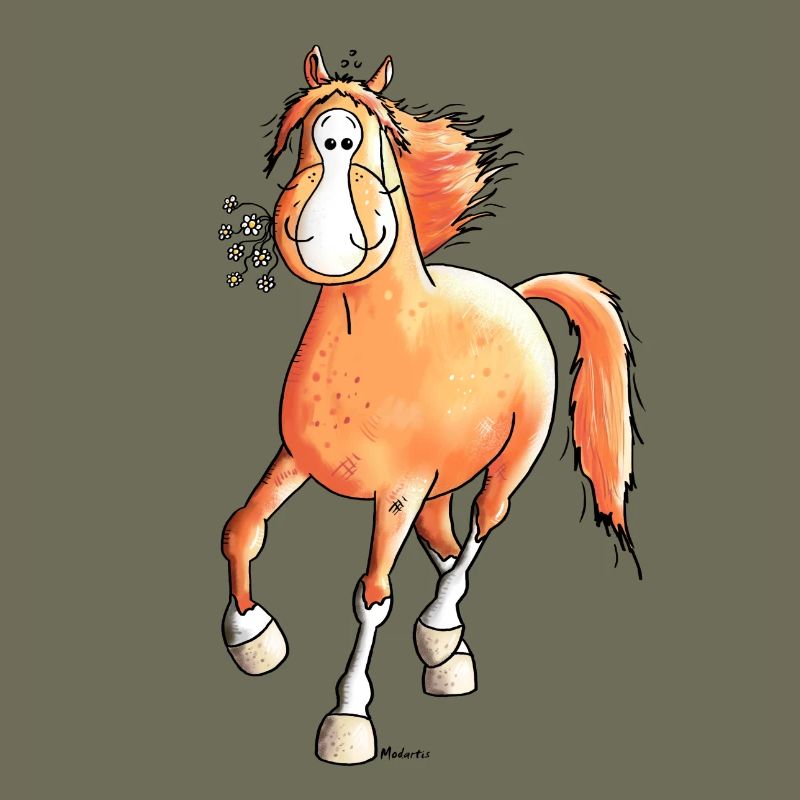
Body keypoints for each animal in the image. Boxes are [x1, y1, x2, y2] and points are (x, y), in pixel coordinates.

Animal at [220, 45, 640, 765]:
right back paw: (446, 652)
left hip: (507, 463)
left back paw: (441, 634)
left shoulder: (398, 491)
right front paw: (252, 638)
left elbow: (371, 597)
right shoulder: (295, 459)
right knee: (443, 546)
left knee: (479, 527)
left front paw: (348, 720)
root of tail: (518, 294)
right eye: (306, 131)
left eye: (373, 135)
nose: (336, 141)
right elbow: (243, 528)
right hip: (437, 488)